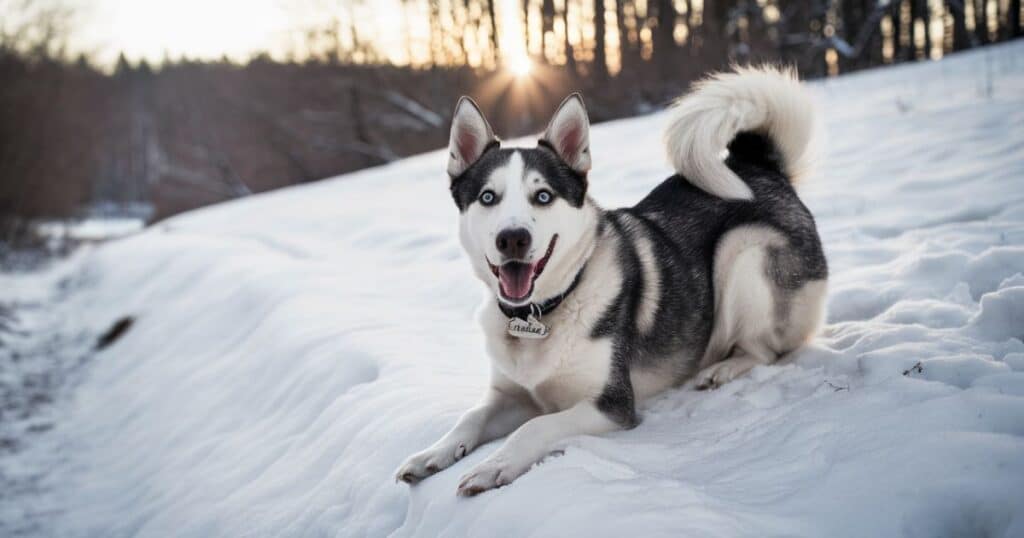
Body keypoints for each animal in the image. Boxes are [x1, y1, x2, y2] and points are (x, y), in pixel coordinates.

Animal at [395, 66, 827, 495]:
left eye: (543, 196)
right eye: (488, 197)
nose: (512, 238)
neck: (542, 313)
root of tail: (761, 168)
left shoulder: (612, 404)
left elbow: (536, 426)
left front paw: (494, 465)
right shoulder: (511, 394)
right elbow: (470, 417)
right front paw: (431, 454)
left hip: (743, 252)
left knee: (766, 349)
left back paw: (722, 369)